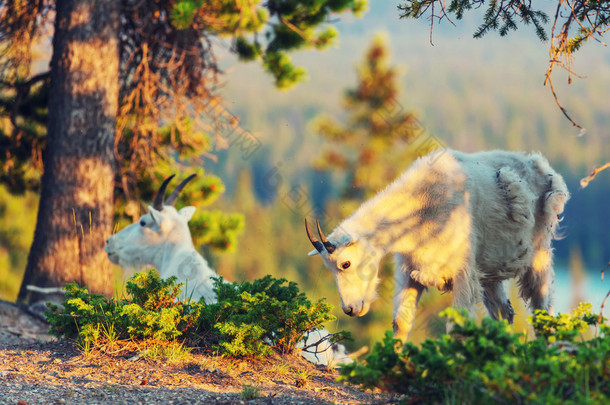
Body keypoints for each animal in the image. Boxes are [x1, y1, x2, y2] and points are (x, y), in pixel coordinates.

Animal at [306, 148, 568, 340]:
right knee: (505, 313)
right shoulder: (410, 270)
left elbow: (455, 327)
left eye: (346, 264)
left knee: (543, 309)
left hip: (539, 254)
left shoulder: (463, 273)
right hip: (489, 270)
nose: (350, 309)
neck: (423, 205)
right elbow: (401, 322)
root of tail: (543, 167)